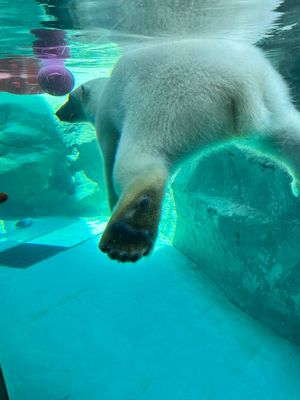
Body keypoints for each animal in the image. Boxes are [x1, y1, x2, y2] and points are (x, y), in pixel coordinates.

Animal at [55, 37, 300, 262]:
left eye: (69, 97)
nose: (57, 112)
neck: (105, 90)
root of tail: (240, 81)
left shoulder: (107, 119)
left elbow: (108, 156)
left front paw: (112, 200)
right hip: (269, 96)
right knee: (284, 134)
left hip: (169, 102)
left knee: (141, 159)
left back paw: (126, 237)